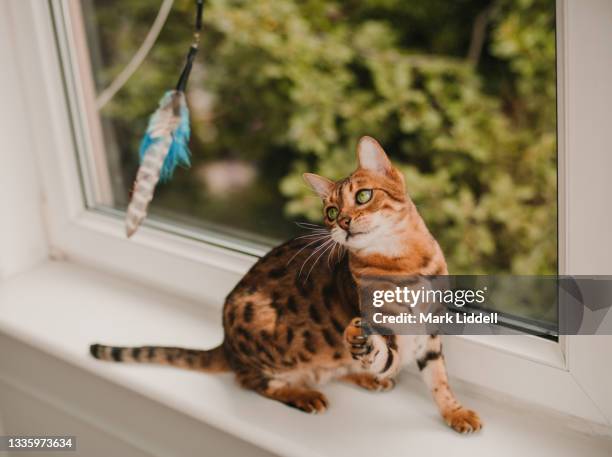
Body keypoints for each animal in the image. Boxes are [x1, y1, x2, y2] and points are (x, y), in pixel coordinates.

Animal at [91, 137, 482, 432]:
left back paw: (363, 378)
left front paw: (455, 411)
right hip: (255, 321)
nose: (344, 222)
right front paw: (363, 347)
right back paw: (303, 394)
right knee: (252, 379)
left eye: (363, 196)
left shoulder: (430, 332)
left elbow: (439, 378)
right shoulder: (388, 329)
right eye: (330, 212)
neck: (405, 262)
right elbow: (383, 354)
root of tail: (226, 344)